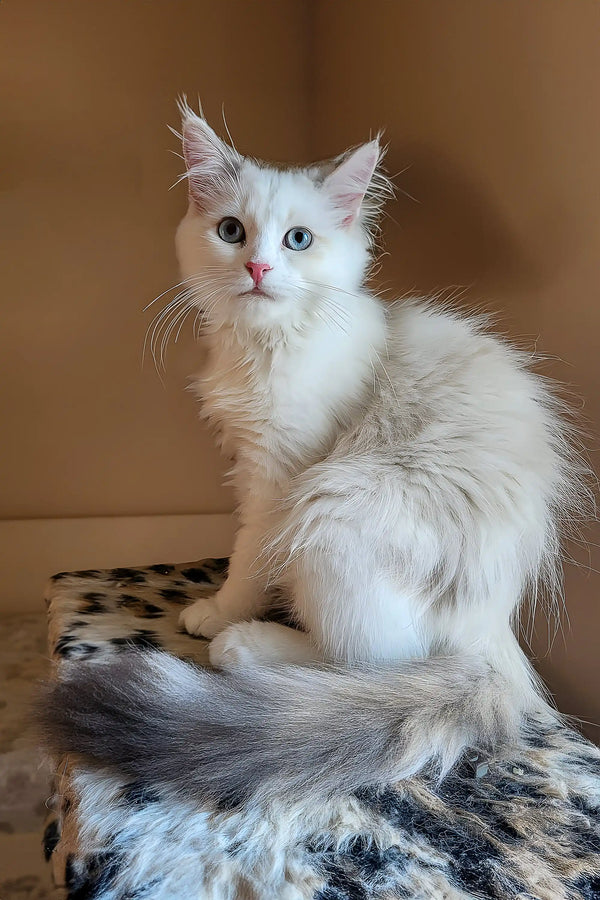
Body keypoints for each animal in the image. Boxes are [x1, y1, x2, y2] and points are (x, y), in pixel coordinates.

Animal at [39, 107, 584, 808]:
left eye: (297, 240)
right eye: (231, 231)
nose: (257, 270)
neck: (268, 343)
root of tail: (494, 647)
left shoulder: (279, 479)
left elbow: (247, 558)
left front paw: (220, 609)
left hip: (335, 511)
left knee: (357, 666)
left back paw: (245, 645)